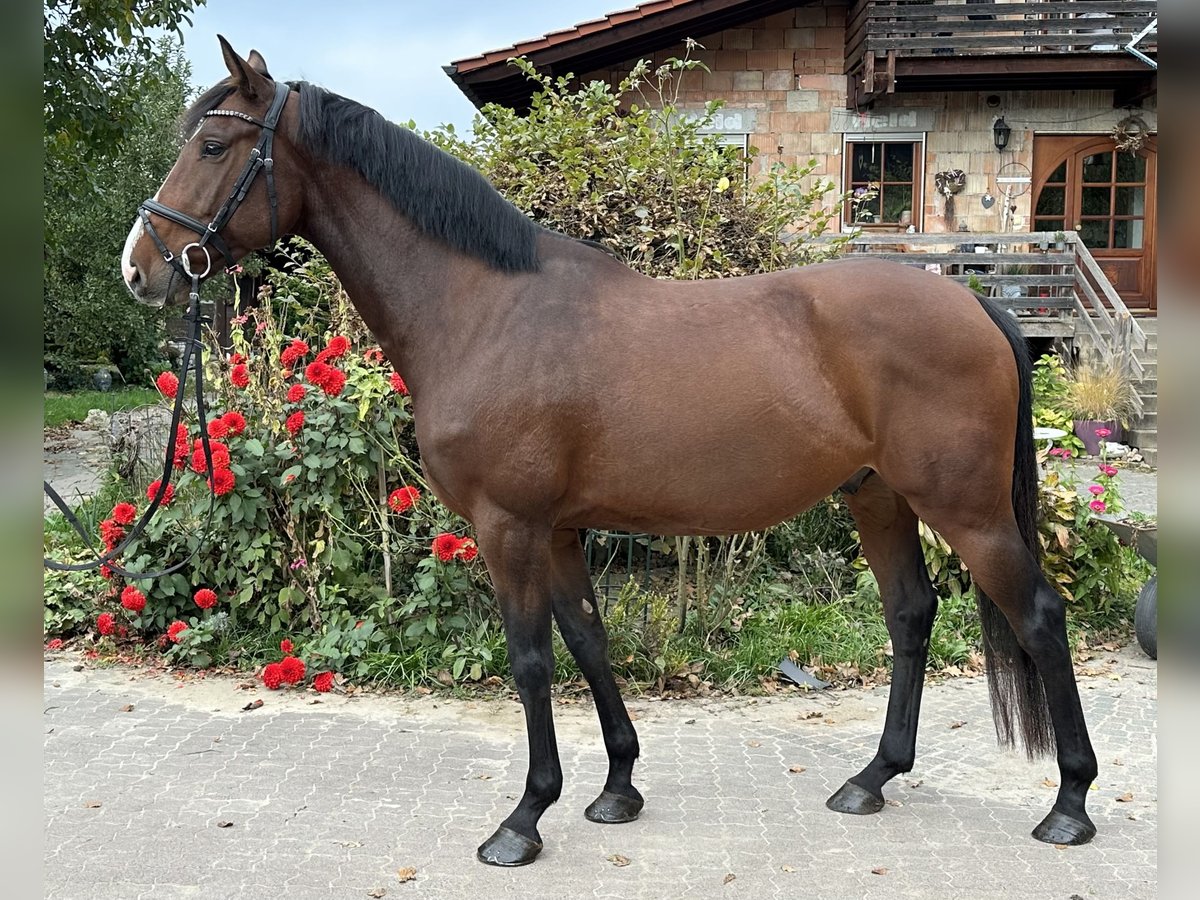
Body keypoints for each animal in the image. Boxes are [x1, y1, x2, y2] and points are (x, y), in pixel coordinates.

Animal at [119, 40, 1099, 868]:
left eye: (213, 145)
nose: (140, 267)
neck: (484, 309)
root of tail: (978, 307)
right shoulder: (557, 531)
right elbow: (589, 642)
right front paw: (617, 787)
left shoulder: (508, 528)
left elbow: (531, 662)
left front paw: (523, 820)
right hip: (878, 496)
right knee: (910, 616)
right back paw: (871, 780)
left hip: (967, 511)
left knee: (1040, 617)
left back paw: (1070, 804)